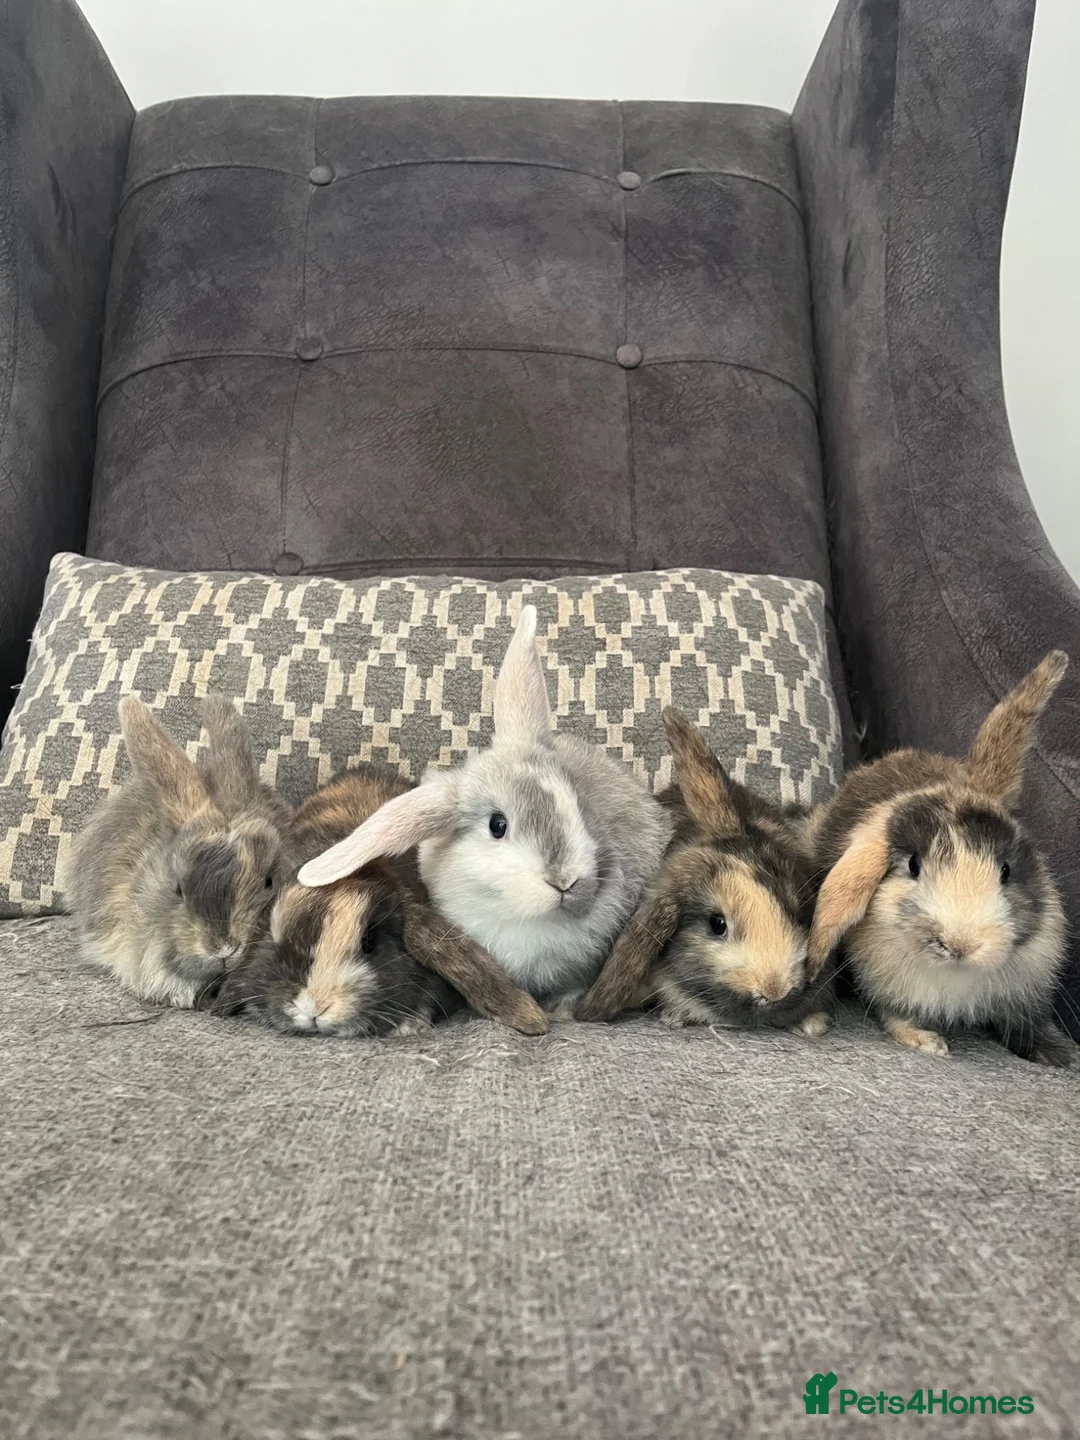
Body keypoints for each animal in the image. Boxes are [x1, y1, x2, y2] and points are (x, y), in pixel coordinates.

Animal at [805, 650, 1075, 1065]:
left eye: (1006, 871)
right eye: (914, 866)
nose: (960, 944)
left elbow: (1027, 1024)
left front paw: (1059, 1055)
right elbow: (895, 1017)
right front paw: (927, 1042)